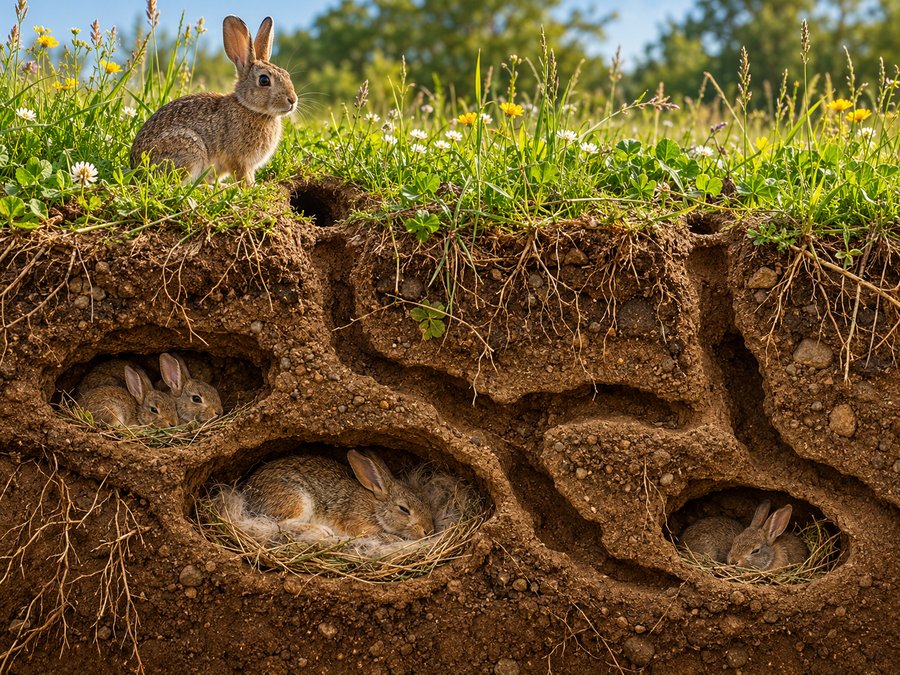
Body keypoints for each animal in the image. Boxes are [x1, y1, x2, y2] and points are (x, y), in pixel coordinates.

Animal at [130, 15, 296, 185]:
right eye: (264, 80)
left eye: (287, 75)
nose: (292, 100)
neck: (249, 108)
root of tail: (136, 167)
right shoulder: (238, 159)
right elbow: (243, 176)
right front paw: (252, 187)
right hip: (190, 150)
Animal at [241, 450, 435, 543]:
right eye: (404, 509)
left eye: (427, 504)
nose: (429, 531)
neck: (375, 509)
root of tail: (247, 494)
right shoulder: (357, 522)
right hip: (297, 499)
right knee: (281, 525)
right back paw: (322, 531)